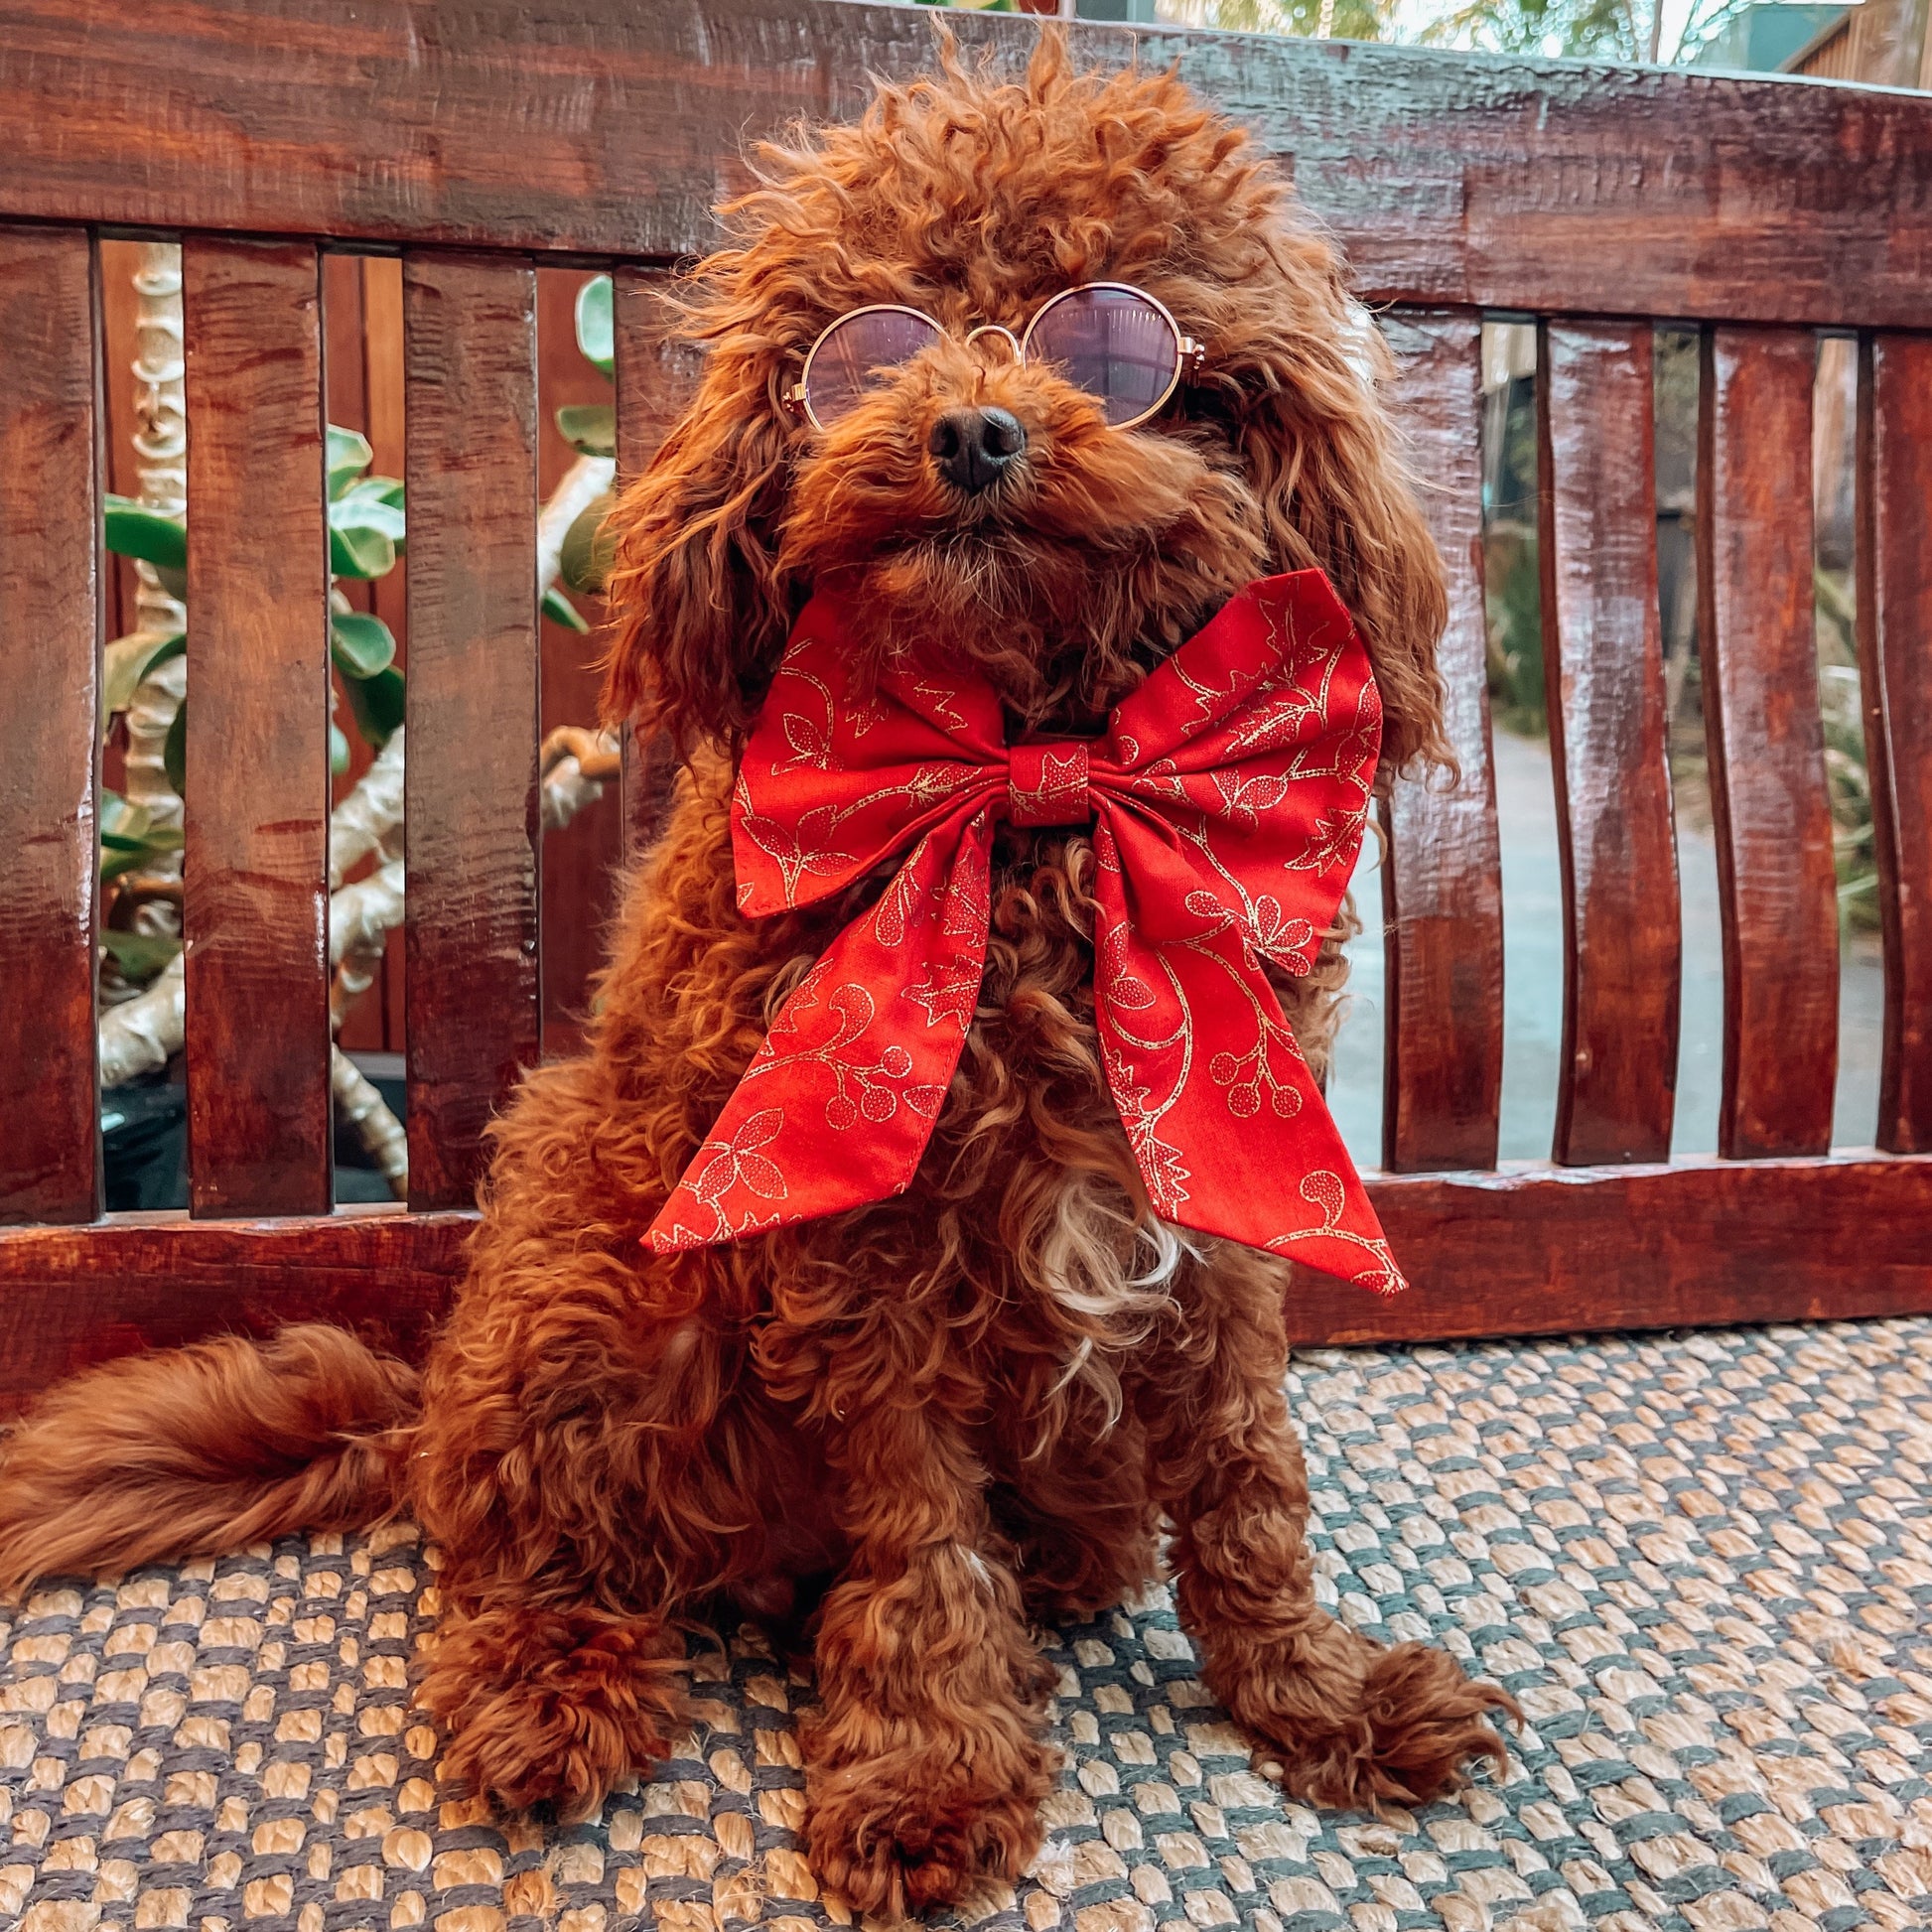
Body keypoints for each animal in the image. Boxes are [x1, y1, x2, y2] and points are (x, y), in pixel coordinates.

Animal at [0, 30, 1506, 1916]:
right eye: (867, 341)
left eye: (1120, 341)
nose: (970, 427)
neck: (1024, 787)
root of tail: (419, 1409)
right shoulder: (854, 1246)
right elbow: (921, 1537)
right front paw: (930, 1769)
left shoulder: (1225, 1188)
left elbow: (1248, 1482)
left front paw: (1315, 1696)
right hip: (589, 1284)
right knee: (531, 1558)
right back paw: (550, 1699)